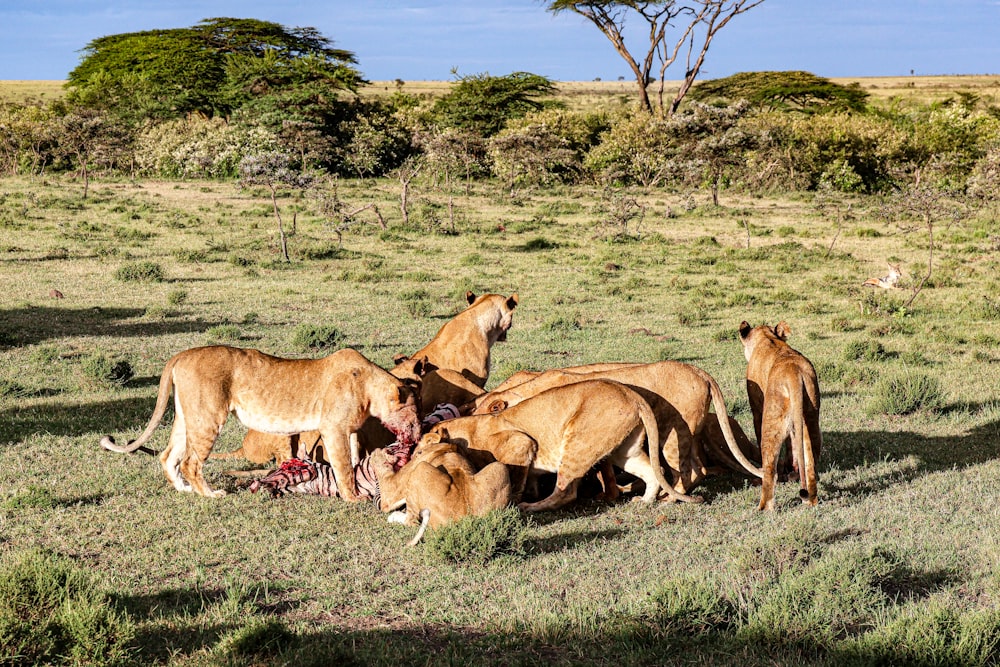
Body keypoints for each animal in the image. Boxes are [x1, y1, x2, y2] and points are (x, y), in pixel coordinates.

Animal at [103, 348, 424, 498]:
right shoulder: (333, 428)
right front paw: (353, 496)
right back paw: (210, 494)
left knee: (169, 455)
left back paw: (183, 489)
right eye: (415, 415)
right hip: (208, 417)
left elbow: (355, 457)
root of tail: (182, 354)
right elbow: (344, 465)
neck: (369, 385)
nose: (420, 432)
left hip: (188, 416)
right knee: (191, 462)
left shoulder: (350, 430)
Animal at [370, 440, 516, 544]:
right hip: (499, 467)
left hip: (421, 468)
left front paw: (377, 454)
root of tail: (464, 521)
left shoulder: (390, 492)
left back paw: (394, 517)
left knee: (411, 521)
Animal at [426, 378, 700, 516]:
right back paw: (644, 502)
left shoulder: (521, 443)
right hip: (624, 449)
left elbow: (515, 478)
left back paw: (532, 508)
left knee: (566, 491)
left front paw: (516, 502)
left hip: (579, 442)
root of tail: (632, 395)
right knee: (653, 472)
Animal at [740, 320, 824, 508]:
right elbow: (792, 443)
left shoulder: (757, 409)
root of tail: (795, 373)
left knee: (770, 467)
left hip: (772, 417)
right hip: (811, 419)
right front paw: (791, 468)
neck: (768, 338)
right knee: (810, 464)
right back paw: (810, 500)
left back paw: (763, 506)